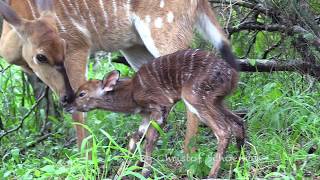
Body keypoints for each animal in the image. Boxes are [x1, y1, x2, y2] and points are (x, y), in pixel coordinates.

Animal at [0, 0, 235, 150]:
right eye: (40, 57)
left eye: (64, 47)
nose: (65, 97)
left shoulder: (78, 46)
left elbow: (79, 114)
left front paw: (85, 162)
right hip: (134, 46)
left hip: (163, 30)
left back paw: (189, 156)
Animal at [67, 48, 245, 177]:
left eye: (81, 93)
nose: (67, 106)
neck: (132, 94)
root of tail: (233, 76)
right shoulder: (146, 114)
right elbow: (135, 138)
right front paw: (121, 173)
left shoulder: (161, 105)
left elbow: (151, 139)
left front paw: (145, 172)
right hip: (217, 100)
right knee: (238, 122)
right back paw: (238, 166)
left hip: (194, 96)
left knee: (223, 130)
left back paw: (212, 175)